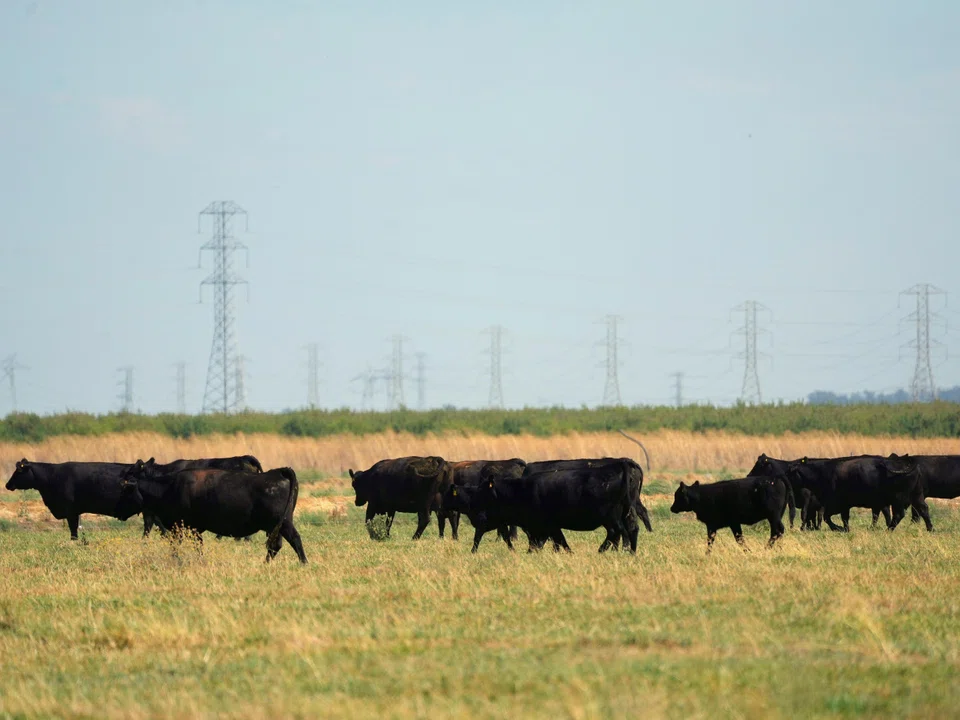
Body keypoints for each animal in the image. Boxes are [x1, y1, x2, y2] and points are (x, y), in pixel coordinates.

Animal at [444, 460, 640, 554]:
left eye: (483, 490)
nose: (473, 502)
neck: (520, 490)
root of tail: (617, 466)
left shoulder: (545, 525)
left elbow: (550, 542)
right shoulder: (545, 527)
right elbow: (549, 542)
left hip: (609, 516)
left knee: (616, 532)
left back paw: (601, 551)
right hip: (625, 512)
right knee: (630, 529)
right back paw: (631, 552)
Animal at [786, 455, 930, 532]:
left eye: (790, 473)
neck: (823, 472)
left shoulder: (837, 504)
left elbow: (830, 517)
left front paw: (840, 528)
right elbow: (841, 518)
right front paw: (844, 528)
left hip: (898, 498)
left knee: (899, 514)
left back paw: (888, 529)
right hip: (916, 495)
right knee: (923, 509)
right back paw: (930, 528)